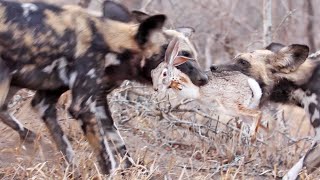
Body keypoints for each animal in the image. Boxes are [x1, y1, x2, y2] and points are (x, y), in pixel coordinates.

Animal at [0, 0, 208, 174]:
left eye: (193, 56)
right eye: (184, 55)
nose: (205, 78)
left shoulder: (90, 101)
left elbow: (116, 143)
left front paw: (130, 169)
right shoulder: (84, 104)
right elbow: (108, 157)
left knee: (4, 110)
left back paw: (28, 136)